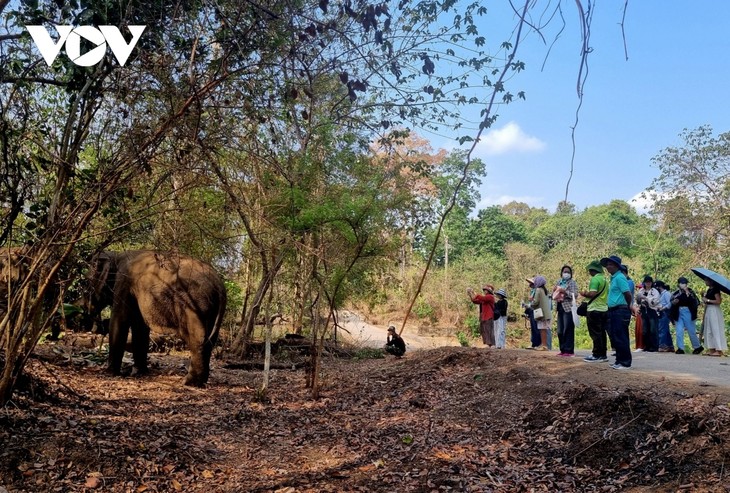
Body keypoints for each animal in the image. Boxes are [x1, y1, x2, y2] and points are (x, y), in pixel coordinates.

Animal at [86, 250, 227, 387]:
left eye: (86, 283)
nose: (96, 328)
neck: (116, 255)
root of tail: (219, 285)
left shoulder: (123, 283)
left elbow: (120, 320)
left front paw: (110, 373)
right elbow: (140, 327)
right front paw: (138, 372)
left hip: (195, 305)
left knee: (198, 339)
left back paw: (189, 383)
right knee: (210, 341)